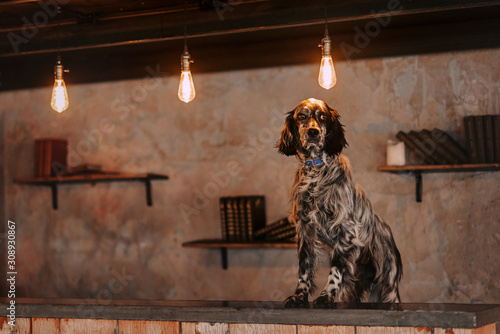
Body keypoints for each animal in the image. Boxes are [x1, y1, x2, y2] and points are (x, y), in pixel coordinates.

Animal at [278, 97, 402, 308]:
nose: (313, 132)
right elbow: (304, 268)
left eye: (322, 117)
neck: (317, 170)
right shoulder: (305, 229)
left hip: (388, 281)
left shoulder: (345, 229)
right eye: (302, 116)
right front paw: (299, 296)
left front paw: (325, 297)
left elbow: (335, 272)